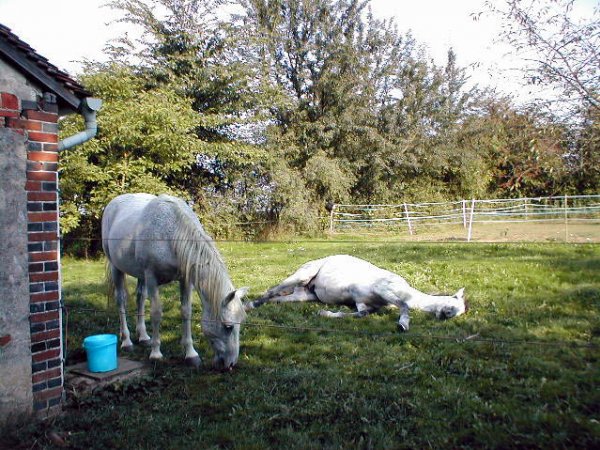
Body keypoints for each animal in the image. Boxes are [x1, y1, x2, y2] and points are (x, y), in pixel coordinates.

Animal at [102, 193, 247, 370]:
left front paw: (191, 354)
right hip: (116, 268)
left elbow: (186, 312)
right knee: (121, 300)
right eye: (228, 327)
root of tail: (113, 202)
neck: (170, 232)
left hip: (140, 275)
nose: (231, 363)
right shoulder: (151, 277)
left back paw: (143, 337)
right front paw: (156, 354)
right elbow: (156, 313)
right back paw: (126, 341)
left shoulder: (185, 279)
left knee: (140, 298)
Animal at [245, 255, 468, 332]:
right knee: (272, 290)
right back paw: (250, 305)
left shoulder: (362, 303)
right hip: (301, 276)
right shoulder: (382, 290)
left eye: (461, 311)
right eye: (454, 303)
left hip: (304, 295)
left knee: (277, 298)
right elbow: (404, 306)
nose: (446, 315)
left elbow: (361, 314)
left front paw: (325, 314)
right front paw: (403, 325)